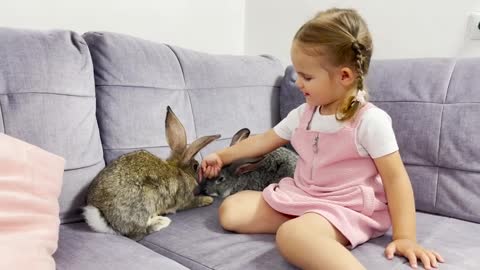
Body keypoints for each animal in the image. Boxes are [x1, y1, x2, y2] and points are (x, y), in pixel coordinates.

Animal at [84, 106, 219, 239]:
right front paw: (208, 200)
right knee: (138, 232)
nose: (200, 177)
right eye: (196, 166)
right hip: (146, 201)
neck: (179, 169)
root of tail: (105, 219)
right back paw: (161, 222)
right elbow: (192, 202)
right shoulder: (185, 199)